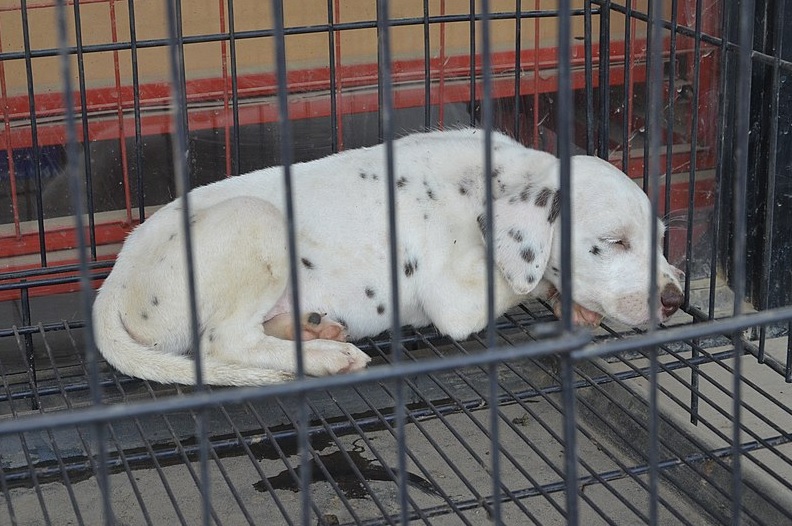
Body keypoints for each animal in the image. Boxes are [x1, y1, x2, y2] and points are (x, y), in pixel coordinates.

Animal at [93, 130, 684, 386]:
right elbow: (520, 279)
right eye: (614, 242)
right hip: (258, 220)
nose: (676, 299)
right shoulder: (459, 300)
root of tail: (113, 281)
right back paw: (325, 356)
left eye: (659, 237)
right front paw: (559, 293)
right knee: (226, 340)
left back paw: (312, 328)